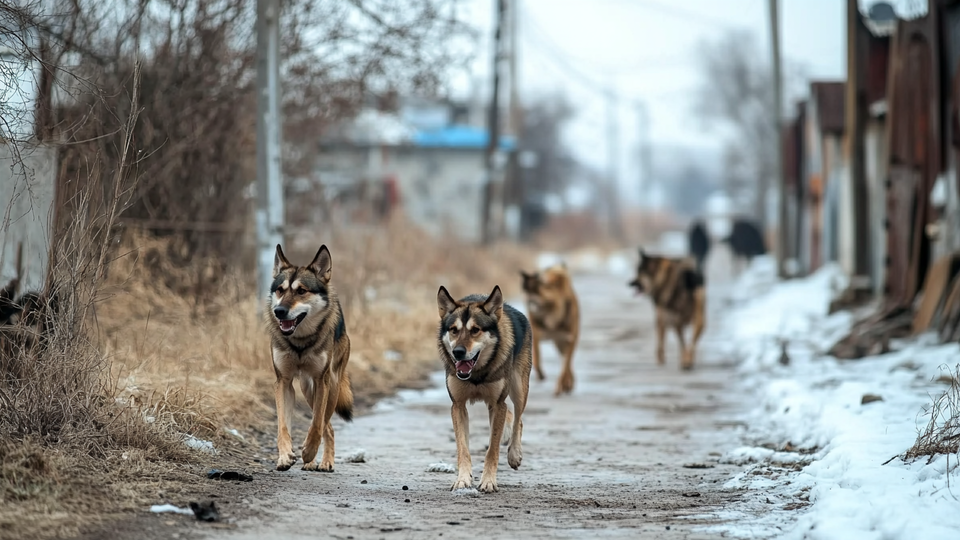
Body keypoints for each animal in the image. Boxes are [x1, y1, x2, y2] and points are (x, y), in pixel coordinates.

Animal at [266, 245, 352, 472]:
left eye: (301, 291)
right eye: (280, 290)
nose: (279, 311)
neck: (300, 341)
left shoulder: (322, 381)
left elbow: (316, 425)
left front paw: (308, 452)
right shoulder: (283, 382)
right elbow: (282, 426)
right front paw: (285, 457)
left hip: (330, 386)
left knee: (327, 425)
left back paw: (325, 462)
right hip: (306, 388)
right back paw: (312, 463)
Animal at [436, 286, 532, 494]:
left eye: (475, 330)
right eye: (454, 330)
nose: (458, 352)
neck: (476, 375)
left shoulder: (498, 403)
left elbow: (492, 450)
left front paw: (488, 482)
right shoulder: (458, 405)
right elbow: (463, 449)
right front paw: (463, 480)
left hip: (519, 389)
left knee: (518, 419)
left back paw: (514, 454)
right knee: (511, 415)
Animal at [520, 264, 580, 396]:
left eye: (541, 286)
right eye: (527, 291)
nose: (529, 298)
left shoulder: (569, 340)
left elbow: (564, 367)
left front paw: (560, 386)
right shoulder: (536, 336)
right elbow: (537, 359)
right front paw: (541, 375)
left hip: (564, 343)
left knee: (568, 364)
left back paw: (567, 384)